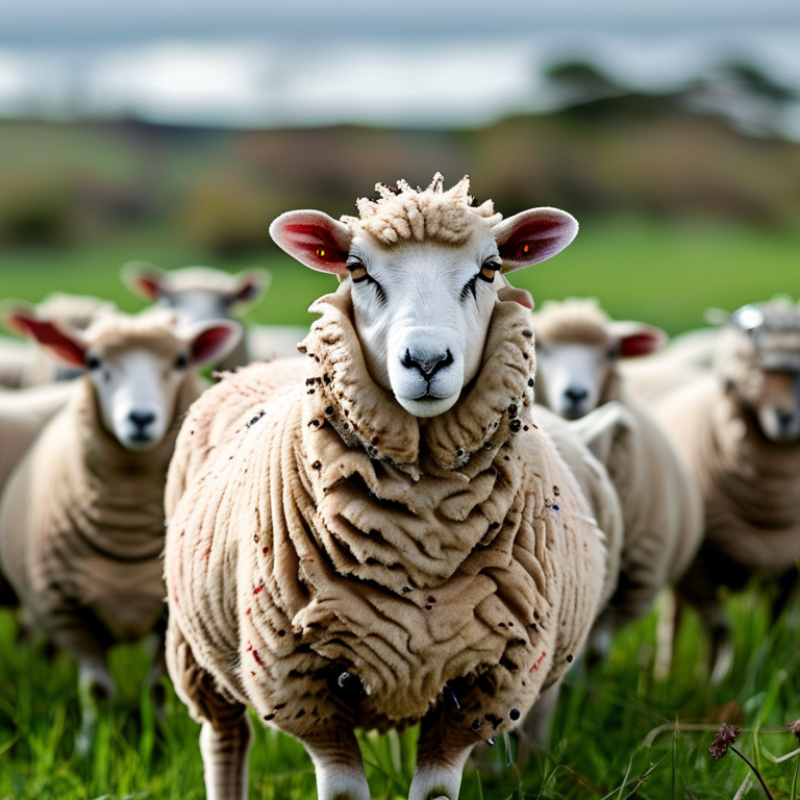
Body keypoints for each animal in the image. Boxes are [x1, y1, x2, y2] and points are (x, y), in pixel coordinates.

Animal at [0, 308, 241, 750]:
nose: (141, 419)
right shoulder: (66, 611)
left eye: (181, 361)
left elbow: (157, 689)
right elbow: (96, 690)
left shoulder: (171, 618)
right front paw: (87, 748)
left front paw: (159, 743)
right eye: (93, 362)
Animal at [163, 174, 621, 800]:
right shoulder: (303, 686)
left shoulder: (484, 685)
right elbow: (342, 790)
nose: (426, 361)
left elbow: (435, 791)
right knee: (225, 739)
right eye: (357, 270)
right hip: (195, 652)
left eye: (490, 269)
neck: (424, 525)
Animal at [625, 298, 800, 682]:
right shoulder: (698, 567)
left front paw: (770, 668)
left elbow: (776, 630)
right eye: (755, 369)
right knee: (674, 622)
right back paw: (663, 676)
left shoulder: (789, 568)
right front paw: (713, 684)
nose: (786, 418)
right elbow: (718, 631)